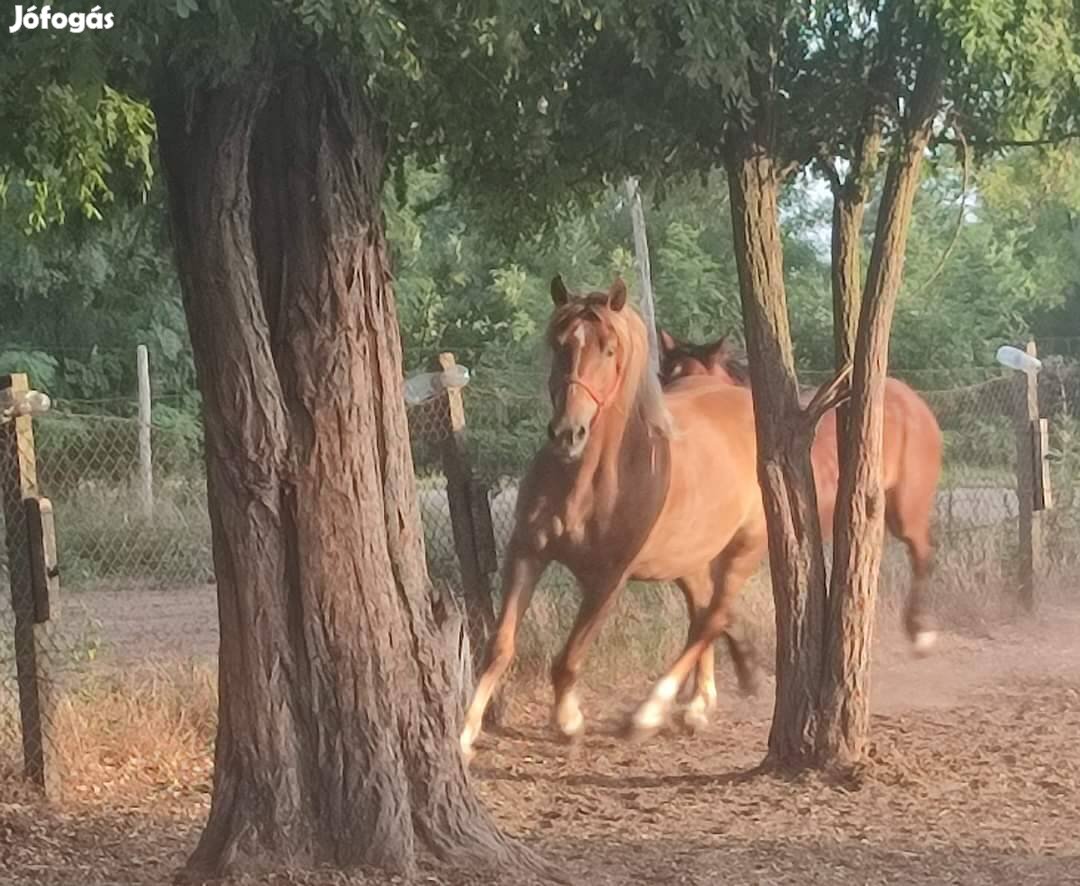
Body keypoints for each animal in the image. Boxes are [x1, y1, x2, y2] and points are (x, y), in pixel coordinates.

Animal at [462, 278, 768, 760]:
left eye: (608, 350)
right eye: (559, 344)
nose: (567, 433)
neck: (588, 482)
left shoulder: (609, 578)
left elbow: (569, 658)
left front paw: (568, 722)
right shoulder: (525, 553)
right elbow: (499, 646)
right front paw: (464, 733)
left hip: (746, 547)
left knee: (712, 617)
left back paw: (648, 713)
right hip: (690, 560)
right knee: (705, 613)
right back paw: (695, 707)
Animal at [652, 326, 941, 652]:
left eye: (691, 381)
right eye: (663, 376)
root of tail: (913, 401)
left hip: (906, 511)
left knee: (923, 551)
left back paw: (921, 633)